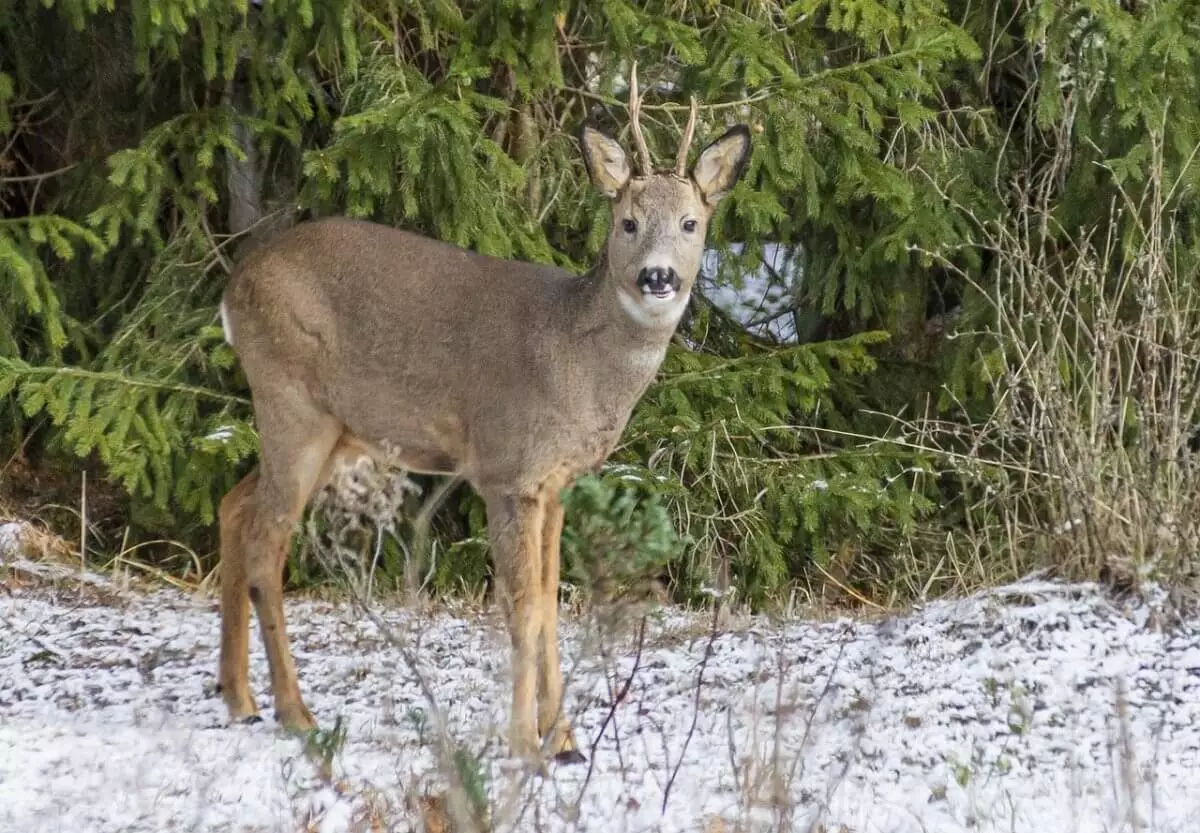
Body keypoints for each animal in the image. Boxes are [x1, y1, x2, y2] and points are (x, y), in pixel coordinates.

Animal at [211, 68, 744, 768]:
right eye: (627, 222)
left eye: (690, 222)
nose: (658, 277)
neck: (575, 361)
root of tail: (231, 290)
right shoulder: (507, 469)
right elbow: (519, 607)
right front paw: (524, 744)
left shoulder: (559, 482)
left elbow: (550, 603)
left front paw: (565, 740)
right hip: (292, 399)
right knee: (266, 542)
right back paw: (294, 713)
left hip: (338, 432)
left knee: (233, 504)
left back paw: (238, 698)